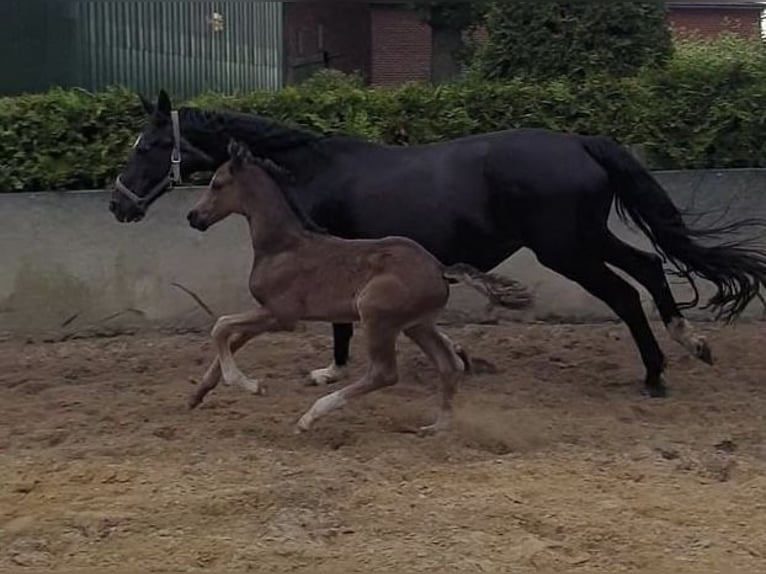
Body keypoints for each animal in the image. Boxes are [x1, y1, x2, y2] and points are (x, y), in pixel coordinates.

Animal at [111, 92, 766, 398]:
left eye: (149, 145)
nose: (119, 204)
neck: (308, 169)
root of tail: (581, 142)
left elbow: (341, 324)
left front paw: (331, 370)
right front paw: (459, 354)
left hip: (566, 248)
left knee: (627, 294)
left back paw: (656, 374)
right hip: (585, 238)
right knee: (651, 265)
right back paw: (690, 344)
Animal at [187, 141, 536, 436]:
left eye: (217, 184)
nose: (193, 216)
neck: (282, 246)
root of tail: (439, 268)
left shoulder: (281, 315)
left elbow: (221, 327)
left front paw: (251, 386)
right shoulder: (266, 311)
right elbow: (231, 339)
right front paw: (197, 395)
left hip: (376, 314)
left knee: (384, 373)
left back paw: (310, 417)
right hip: (417, 325)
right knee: (449, 365)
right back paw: (436, 427)